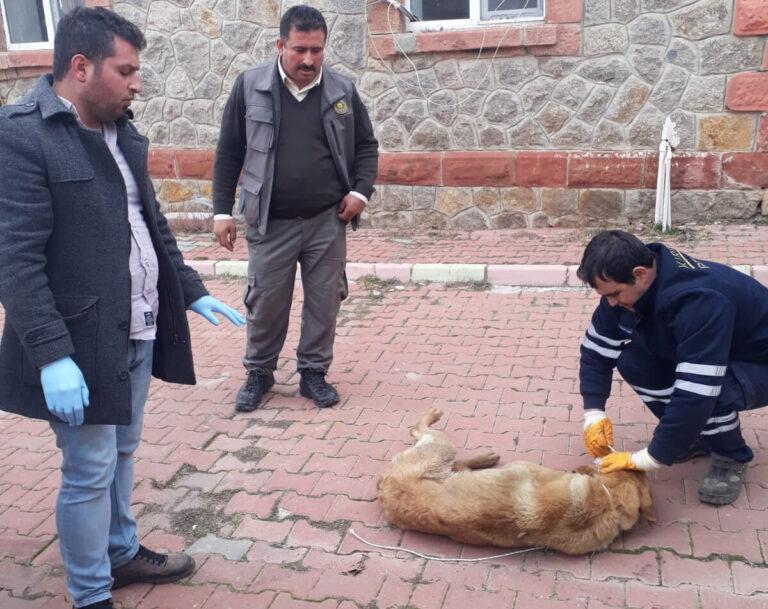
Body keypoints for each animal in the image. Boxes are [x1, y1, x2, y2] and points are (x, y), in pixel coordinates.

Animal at [378, 408, 656, 556]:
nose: (607, 449)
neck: (608, 501)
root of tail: (385, 487)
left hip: (441, 452)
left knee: (438, 447)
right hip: (442, 449)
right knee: (419, 430)